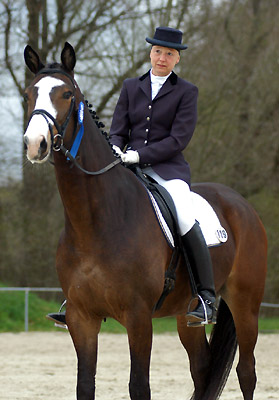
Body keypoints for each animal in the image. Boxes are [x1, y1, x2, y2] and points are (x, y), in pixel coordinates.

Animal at [23, 42, 268, 398]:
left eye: (67, 94)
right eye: (29, 94)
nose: (35, 144)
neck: (95, 221)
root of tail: (242, 204)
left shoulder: (138, 317)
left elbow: (139, 385)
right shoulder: (82, 319)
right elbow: (85, 384)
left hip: (245, 304)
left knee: (246, 372)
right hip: (185, 315)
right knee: (202, 370)